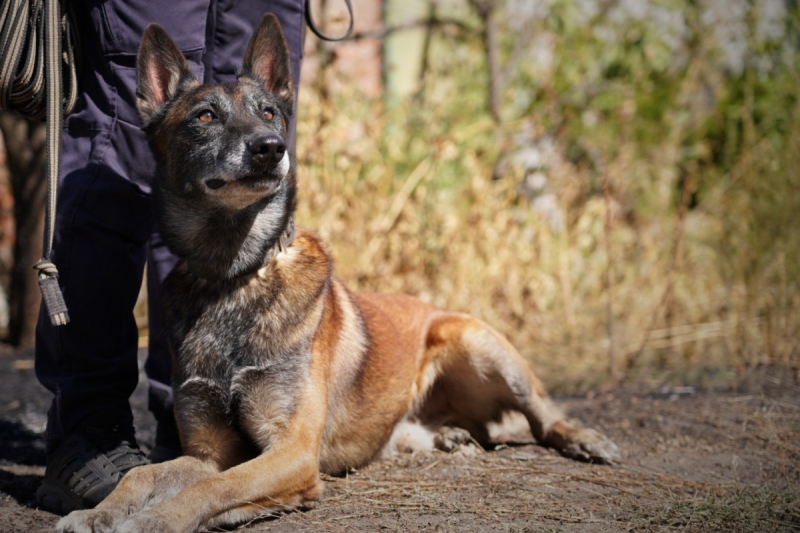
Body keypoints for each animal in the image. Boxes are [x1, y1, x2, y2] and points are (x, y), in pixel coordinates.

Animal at [57, 13, 620, 532]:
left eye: (269, 113)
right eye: (205, 115)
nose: (270, 147)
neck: (237, 275)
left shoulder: (291, 454)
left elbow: (212, 488)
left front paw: (157, 520)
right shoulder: (208, 453)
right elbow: (144, 475)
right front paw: (97, 512)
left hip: (480, 342)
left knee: (544, 414)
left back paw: (586, 439)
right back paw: (448, 435)